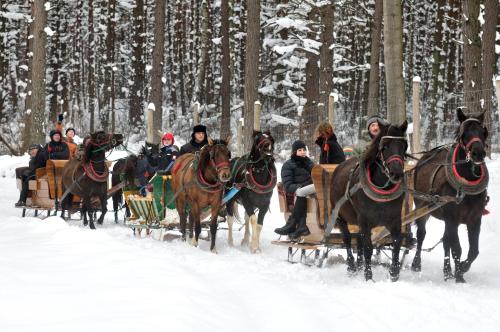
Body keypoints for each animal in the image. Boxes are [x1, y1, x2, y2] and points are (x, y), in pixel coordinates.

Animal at [330, 120, 408, 282]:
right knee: (347, 239)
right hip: (340, 216)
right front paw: (368, 276)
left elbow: (396, 244)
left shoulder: (395, 220)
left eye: (404, 146)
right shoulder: (365, 220)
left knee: (358, 240)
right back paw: (352, 267)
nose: (396, 173)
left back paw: (359, 264)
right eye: (384, 146)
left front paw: (394, 274)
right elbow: (368, 247)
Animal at [410, 109, 488, 282]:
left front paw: (463, 267)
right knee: (421, 235)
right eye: (464, 133)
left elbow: (474, 251)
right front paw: (459, 275)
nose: (478, 153)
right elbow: (457, 248)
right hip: (422, 208)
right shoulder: (452, 218)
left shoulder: (475, 219)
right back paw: (416, 264)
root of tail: (424, 158)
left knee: (446, 241)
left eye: (483, 132)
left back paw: (447, 271)